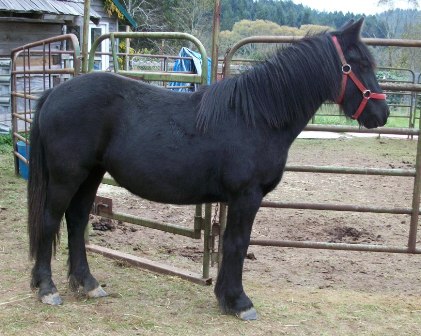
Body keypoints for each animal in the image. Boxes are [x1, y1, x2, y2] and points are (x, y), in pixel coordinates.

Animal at [27, 19, 388, 320]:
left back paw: (88, 284)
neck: (257, 116)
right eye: (359, 64)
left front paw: (226, 297)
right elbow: (238, 243)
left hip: (91, 175)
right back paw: (47, 289)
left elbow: (230, 243)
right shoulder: (246, 196)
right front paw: (239, 303)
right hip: (67, 177)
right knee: (49, 220)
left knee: (76, 221)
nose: (381, 114)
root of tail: (54, 93)